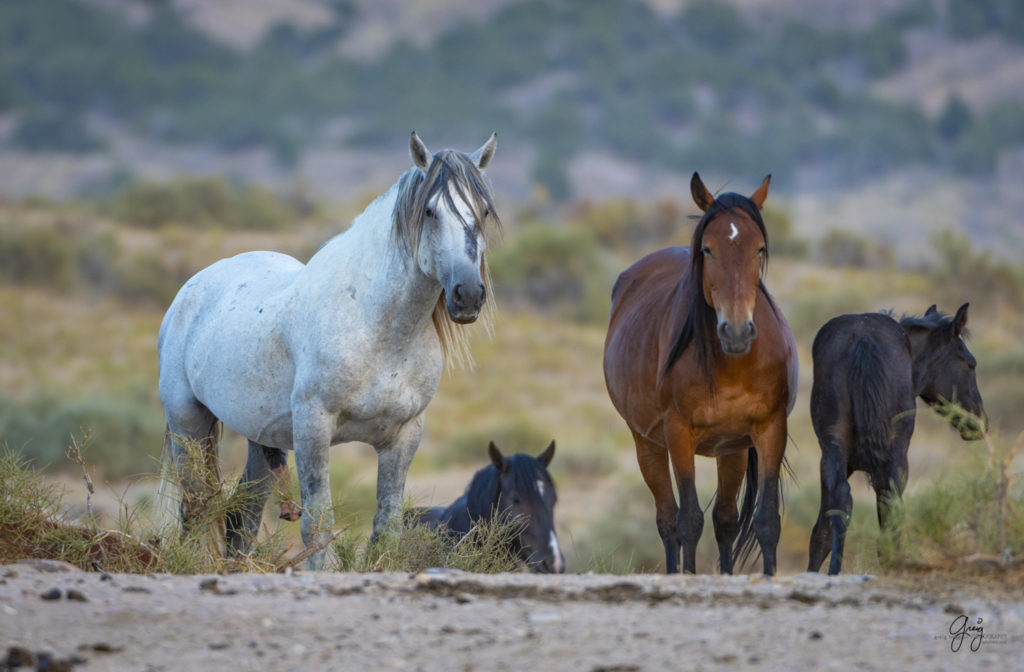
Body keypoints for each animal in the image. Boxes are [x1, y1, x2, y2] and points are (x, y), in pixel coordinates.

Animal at [154, 131, 499, 565]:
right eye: (430, 211)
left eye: (483, 211)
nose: (467, 295)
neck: (378, 330)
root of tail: (190, 289)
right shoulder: (313, 428)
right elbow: (317, 525)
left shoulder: (404, 437)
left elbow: (386, 527)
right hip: (188, 425)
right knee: (197, 508)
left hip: (259, 438)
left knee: (244, 514)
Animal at [602, 172, 794, 573]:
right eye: (707, 249)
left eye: (759, 249)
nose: (736, 332)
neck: (734, 367)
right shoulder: (678, 434)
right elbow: (689, 519)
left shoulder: (770, 429)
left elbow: (765, 520)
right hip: (647, 444)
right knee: (667, 519)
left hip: (732, 449)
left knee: (725, 519)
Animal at [806, 303, 983, 573]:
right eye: (971, 363)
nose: (980, 421)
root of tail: (863, 337)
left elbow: (822, 530)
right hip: (897, 456)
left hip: (833, 450)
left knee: (840, 505)